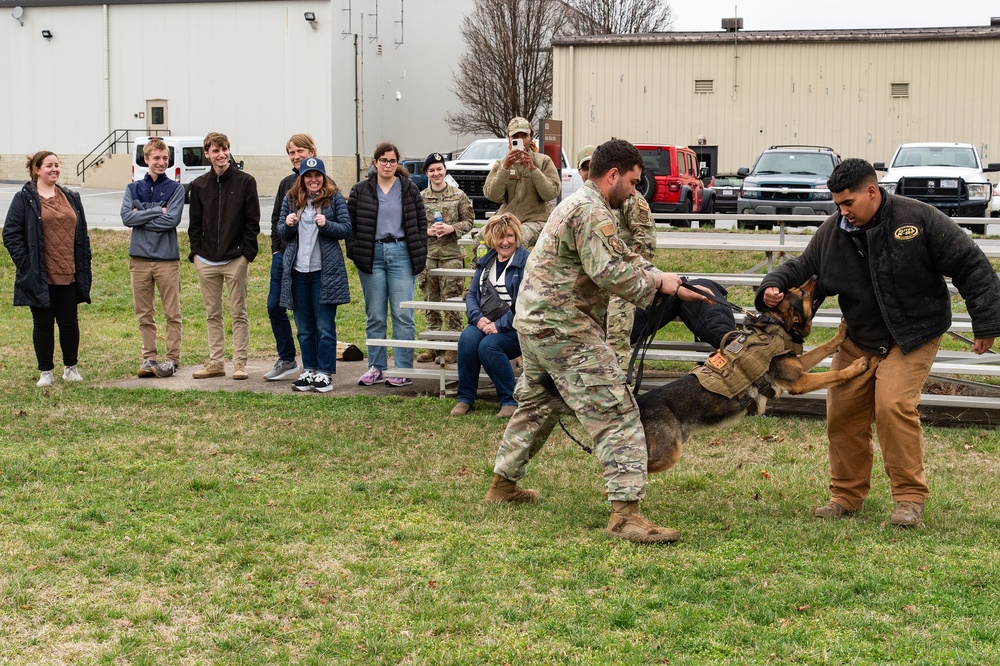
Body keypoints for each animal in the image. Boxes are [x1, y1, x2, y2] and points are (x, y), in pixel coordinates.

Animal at [636, 274, 872, 472]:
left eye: (797, 289)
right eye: (802, 293)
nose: (815, 275)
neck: (776, 326)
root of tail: (638, 405)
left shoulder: (798, 366)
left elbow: (823, 347)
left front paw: (841, 333)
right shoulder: (799, 381)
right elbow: (833, 375)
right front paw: (857, 366)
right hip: (667, 454)